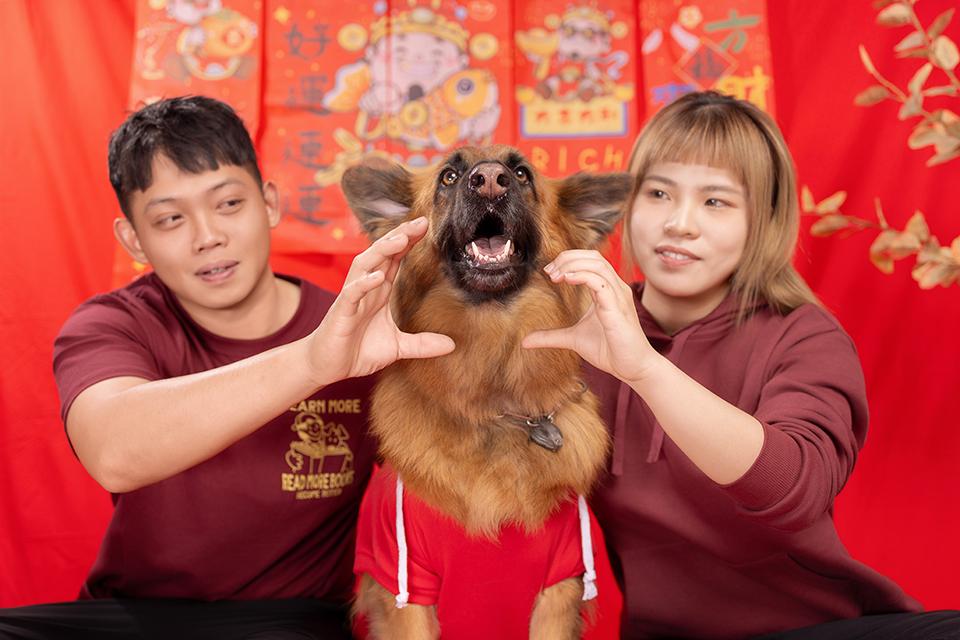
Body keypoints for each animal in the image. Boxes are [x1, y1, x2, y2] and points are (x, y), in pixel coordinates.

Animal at [342, 146, 631, 639]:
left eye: (521, 173)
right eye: (449, 176)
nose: (491, 180)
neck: (496, 404)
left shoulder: (559, 587)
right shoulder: (407, 586)